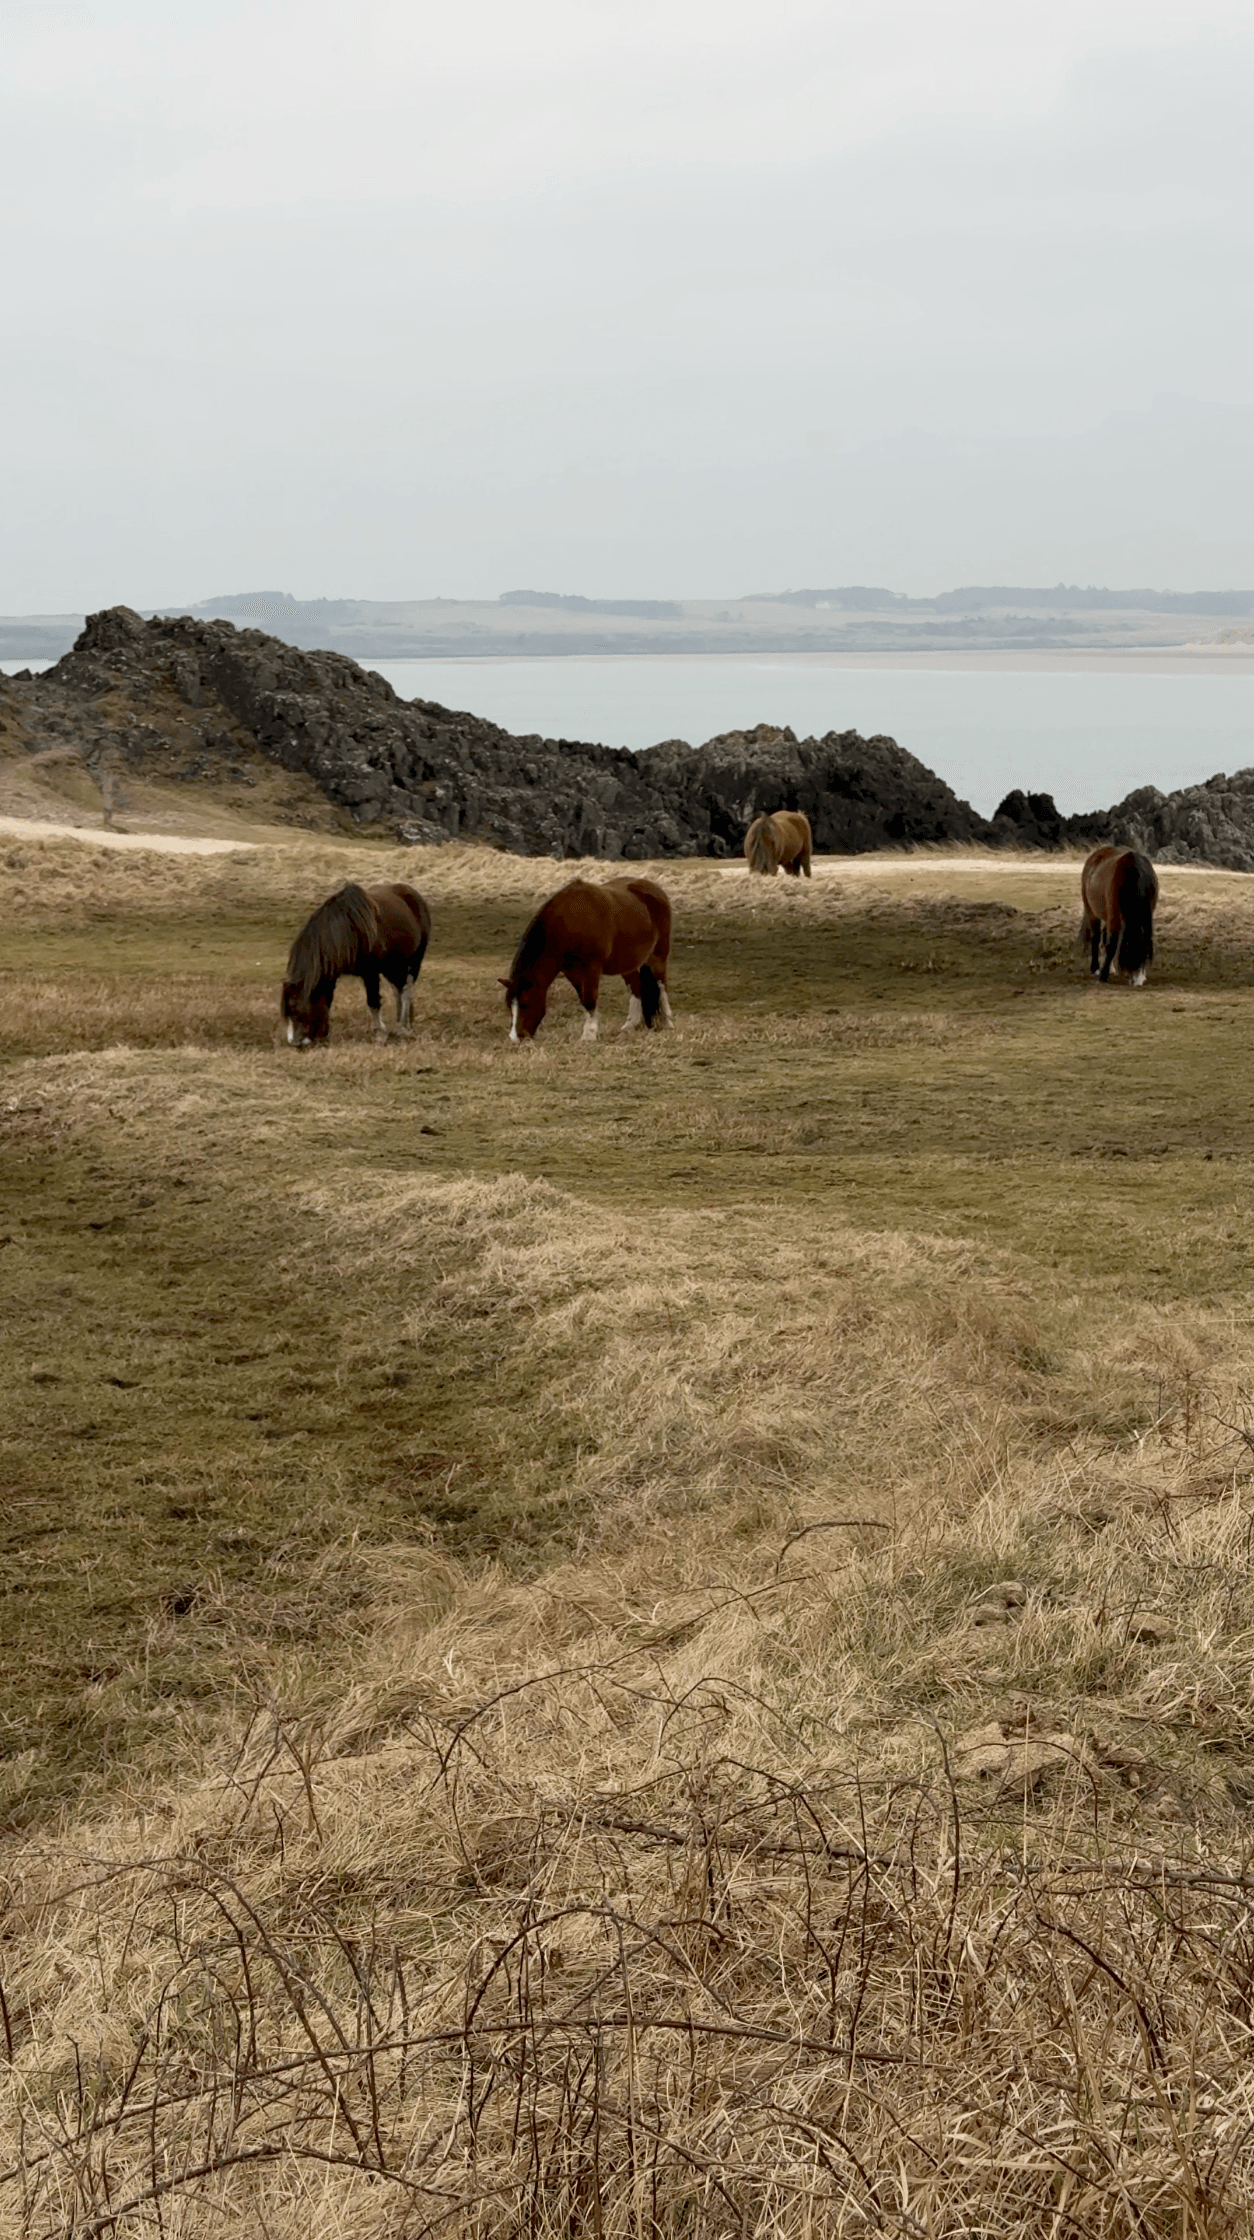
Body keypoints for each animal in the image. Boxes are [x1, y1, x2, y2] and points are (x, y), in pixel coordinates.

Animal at [282, 881, 431, 1045]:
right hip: (393, 966)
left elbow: (373, 1001)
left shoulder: (370, 972)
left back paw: (403, 1028)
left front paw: (379, 1034)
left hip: (414, 961)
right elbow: (328, 999)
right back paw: (402, 1024)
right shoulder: (331, 974)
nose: (295, 1042)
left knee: (407, 991)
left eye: (298, 1010)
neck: (350, 930)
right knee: (398, 990)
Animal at [502, 876, 673, 1042]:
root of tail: (656, 889)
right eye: (509, 1006)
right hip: (627, 962)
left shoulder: (592, 969)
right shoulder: (572, 972)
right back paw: (630, 1025)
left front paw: (589, 1035)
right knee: (636, 988)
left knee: (662, 985)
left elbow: (590, 999)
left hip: (658, 956)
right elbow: (583, 1000)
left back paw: (668, 1022)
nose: (515, 1038)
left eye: (526, 1003)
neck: (569, 922)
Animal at [1079, 845, 1159, 986]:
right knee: (1096, 938)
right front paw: (1103, 975)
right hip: (1092, 912)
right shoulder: (1115, 918)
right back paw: (1095, 968)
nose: (1137, 982)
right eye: (1130, 950)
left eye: (1143, 951)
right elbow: (1111, 945)